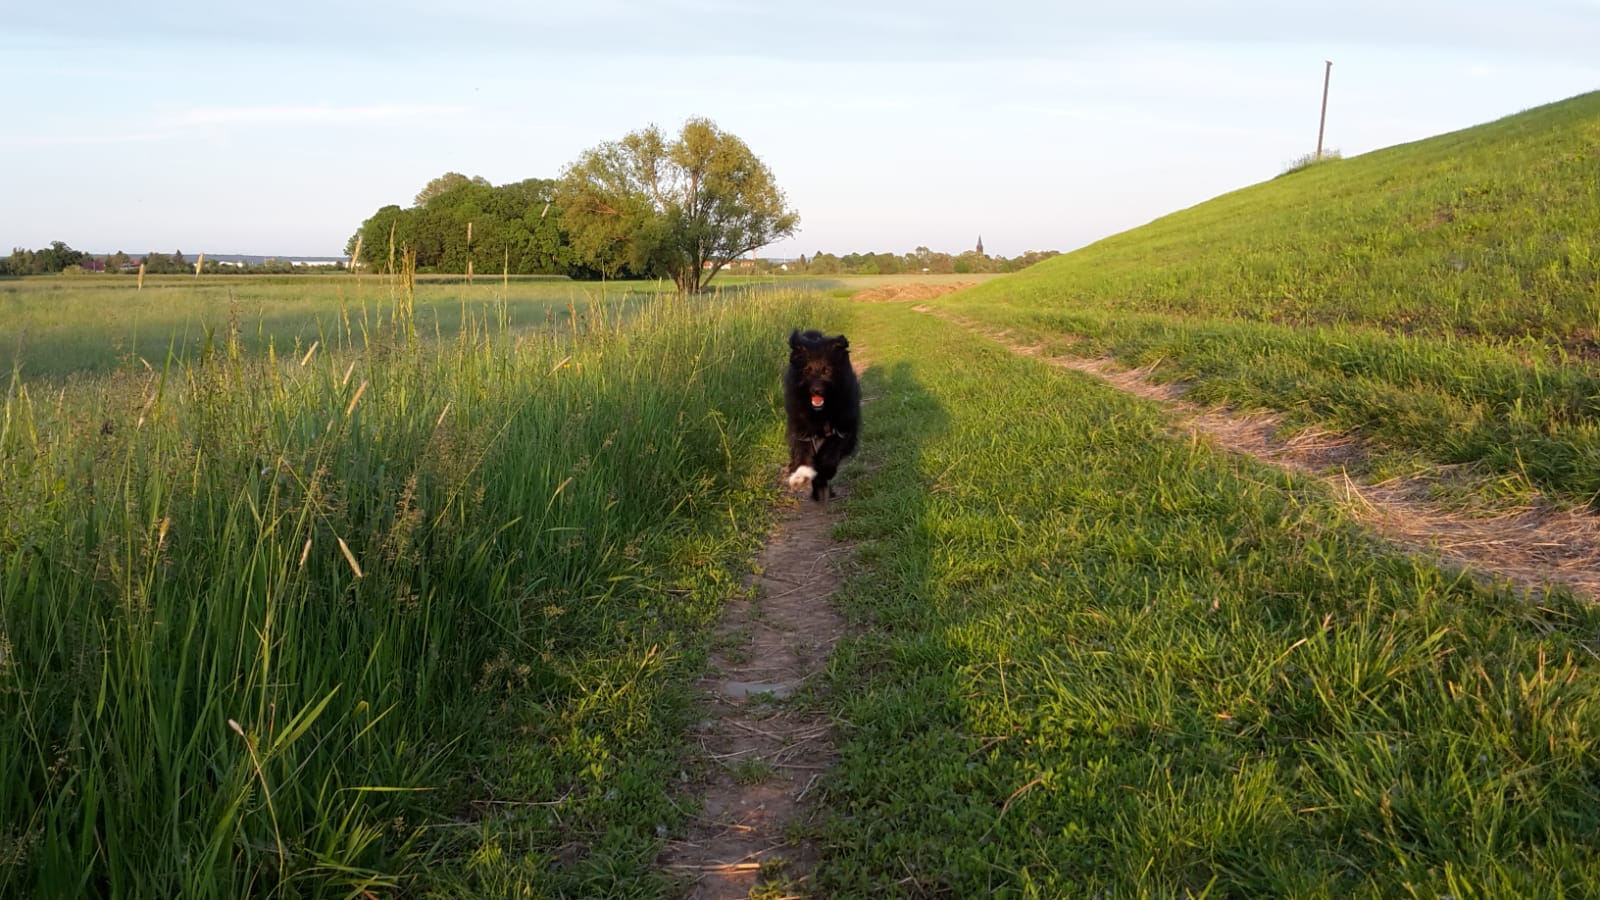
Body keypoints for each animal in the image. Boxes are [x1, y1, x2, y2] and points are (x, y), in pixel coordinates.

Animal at [780, 328, 857, 499]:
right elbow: (801, 451)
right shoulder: (801, 426)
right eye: (807, 370)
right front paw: (801, 475)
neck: (821, 412)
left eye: (827, 370)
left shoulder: (844, 427)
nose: (817, 390)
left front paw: (824, 470)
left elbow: (831, 453)